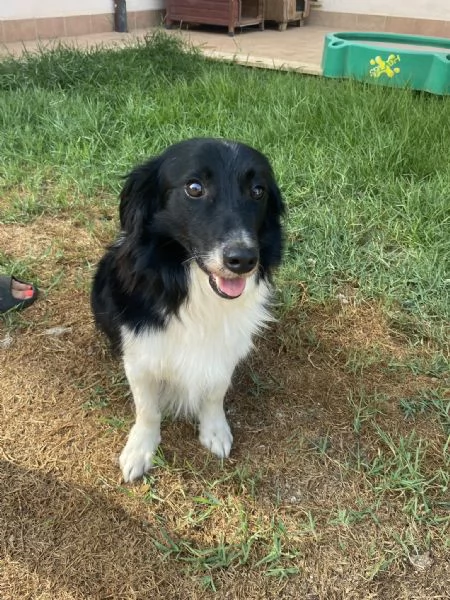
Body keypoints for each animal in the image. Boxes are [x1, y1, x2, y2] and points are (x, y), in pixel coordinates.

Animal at [91, 138, 284, 480]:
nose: (244, 260)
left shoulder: (224, 350)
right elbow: (147, 408)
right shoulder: (140, 353)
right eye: (194, 188)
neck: (195, 290)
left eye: (258, 191)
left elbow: (215, 392)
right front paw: (141, 448)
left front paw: (214, 431)